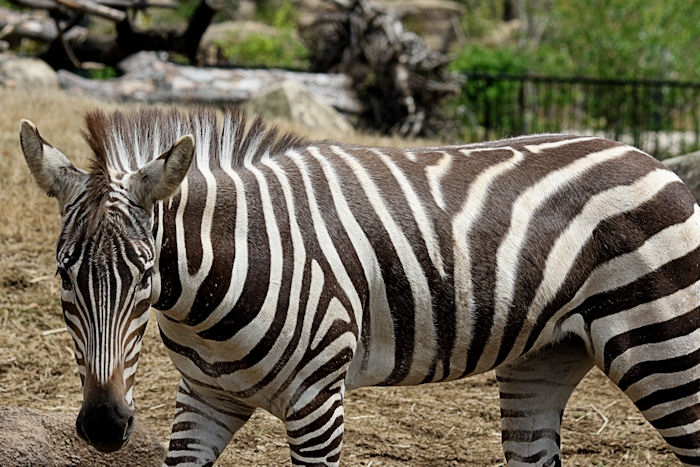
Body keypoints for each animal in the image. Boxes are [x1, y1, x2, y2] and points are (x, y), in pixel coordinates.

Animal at [19, 108, 700, 466]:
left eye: (143, 276)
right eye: (63, 275)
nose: (103, 427)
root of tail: (650, 157)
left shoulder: (318, 404)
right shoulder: (205, 398)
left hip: (665, 351)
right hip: (544, 358)